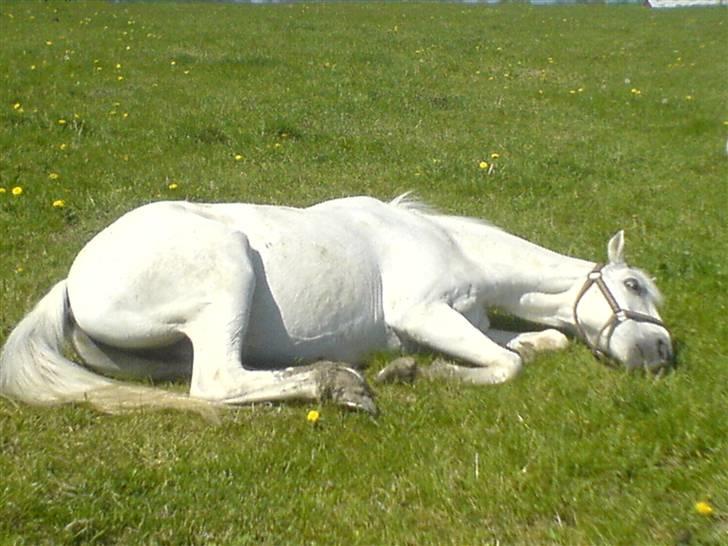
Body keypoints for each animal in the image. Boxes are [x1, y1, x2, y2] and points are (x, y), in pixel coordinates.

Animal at [0, 194, 672, 415]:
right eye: (634, 286)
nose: (662, 352)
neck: (455, 247)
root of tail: (73, 279)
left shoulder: (462, 322)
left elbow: (539, 343)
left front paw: (415, 367)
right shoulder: (422, 314)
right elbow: (508, 365)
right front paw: (422, 372)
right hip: (228, 274)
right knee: (216, 384)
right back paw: (341, 384)